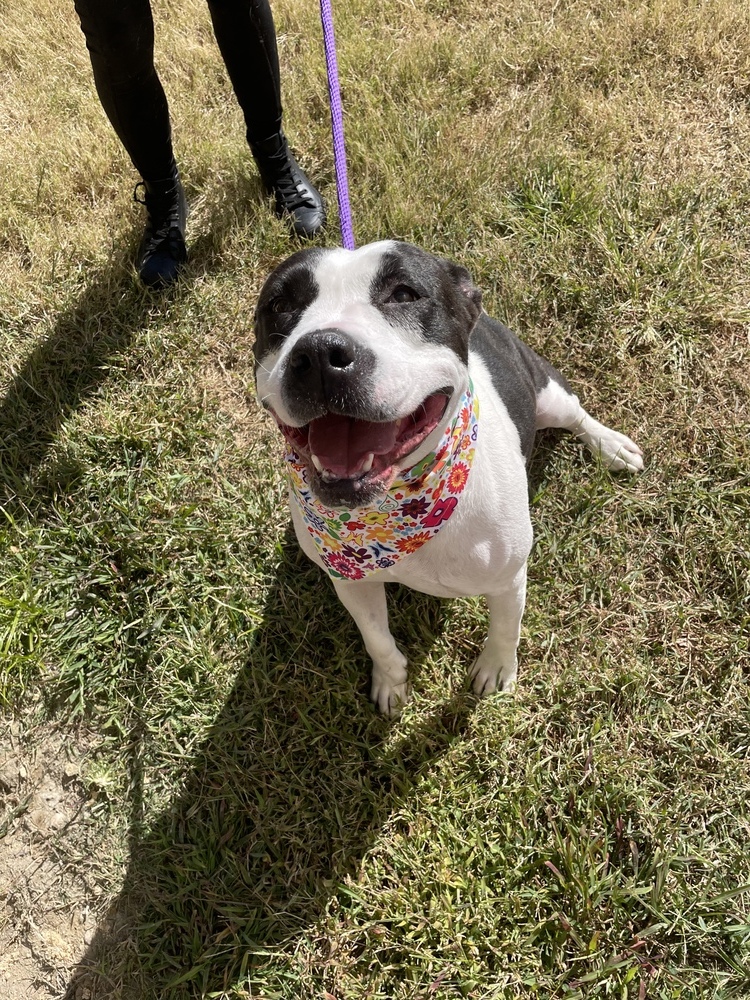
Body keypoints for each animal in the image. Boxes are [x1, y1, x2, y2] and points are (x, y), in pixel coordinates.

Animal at [254, 238, 648, 716]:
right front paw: (391, 681)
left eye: (404, 293)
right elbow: (376, 637)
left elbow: (506, 628)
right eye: (279, 305)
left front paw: (495, 670)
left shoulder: (509, 577)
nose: (320, 354)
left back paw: (612, 446)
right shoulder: (351, 581)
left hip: (549, 393)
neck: (405, 504)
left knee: (578, 416)